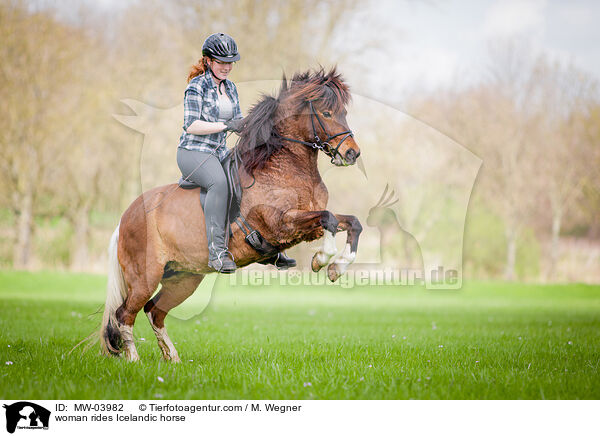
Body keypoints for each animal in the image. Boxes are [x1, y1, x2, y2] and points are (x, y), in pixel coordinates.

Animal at [101, 68, 364, 362]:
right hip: (145, 276)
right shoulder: (281, 223)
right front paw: (321, 260)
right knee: (125, 314)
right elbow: (329, 218)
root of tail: (125, 218)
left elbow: (351, 223)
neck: (286, 167)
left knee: (154, 311)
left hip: (183, 277)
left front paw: (337, 267)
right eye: (327, 113)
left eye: (343, 112)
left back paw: (174, 360)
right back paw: (134, 361)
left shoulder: (307, 223)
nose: (352, 153)